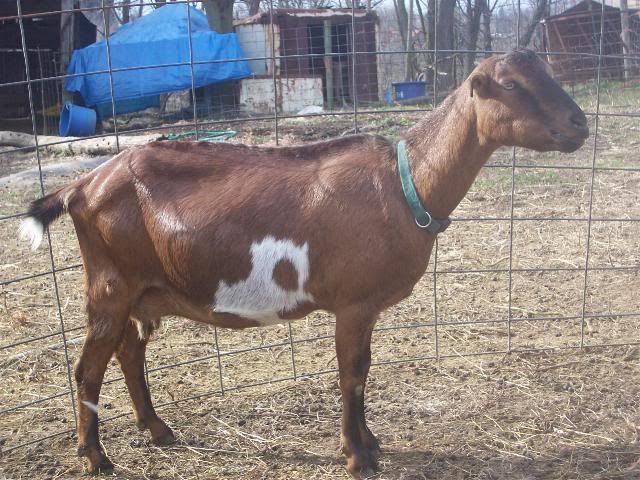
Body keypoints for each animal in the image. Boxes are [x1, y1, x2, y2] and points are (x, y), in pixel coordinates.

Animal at [19, 50, 588, 478]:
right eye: (511, 84)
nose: (579, 123)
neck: (405, 186)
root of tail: (79, 187)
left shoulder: (367, 306)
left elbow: (362, 369)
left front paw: (370, 443)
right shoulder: (353, 303)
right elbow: (351, 372)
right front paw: (357, 457)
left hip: (144, 293)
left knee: (129, 354)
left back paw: (158, 431)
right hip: (110, 286)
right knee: (88, 368)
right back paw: (95, 457)